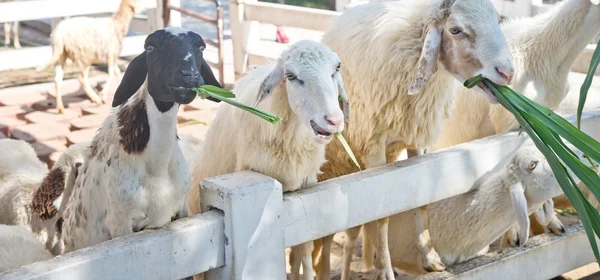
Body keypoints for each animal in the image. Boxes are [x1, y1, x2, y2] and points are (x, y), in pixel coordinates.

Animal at [60, 27, 223, 255]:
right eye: (150, 47)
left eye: (201, 47)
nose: (189, 77)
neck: (156, 168)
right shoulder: (120, 223)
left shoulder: (179, 211)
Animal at [316, 0, 512, 278]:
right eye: (455, 30)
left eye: (498, 20)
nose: (507, 73)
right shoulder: (373, 147)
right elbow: (383, 214)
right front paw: (385, 270)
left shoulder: (417, 141)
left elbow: (420, 201)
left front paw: (430, 258)